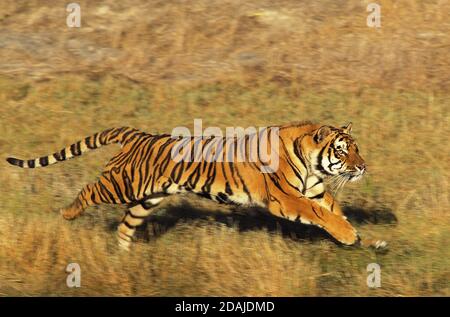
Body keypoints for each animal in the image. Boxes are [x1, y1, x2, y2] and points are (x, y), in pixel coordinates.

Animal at [6, 121, 386, 249]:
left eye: (356, 147)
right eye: (343, 149)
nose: (363, 166)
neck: (312, 164)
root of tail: (137, 135)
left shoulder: (315, 191)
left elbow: (335, 212)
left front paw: (370, 240)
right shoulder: (288, 199)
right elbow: (324, 217)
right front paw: (350, 237)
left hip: (147, 199)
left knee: (126, 225)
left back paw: (124, 256)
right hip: (121, 185)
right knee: (88, 191)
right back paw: (67, 214)